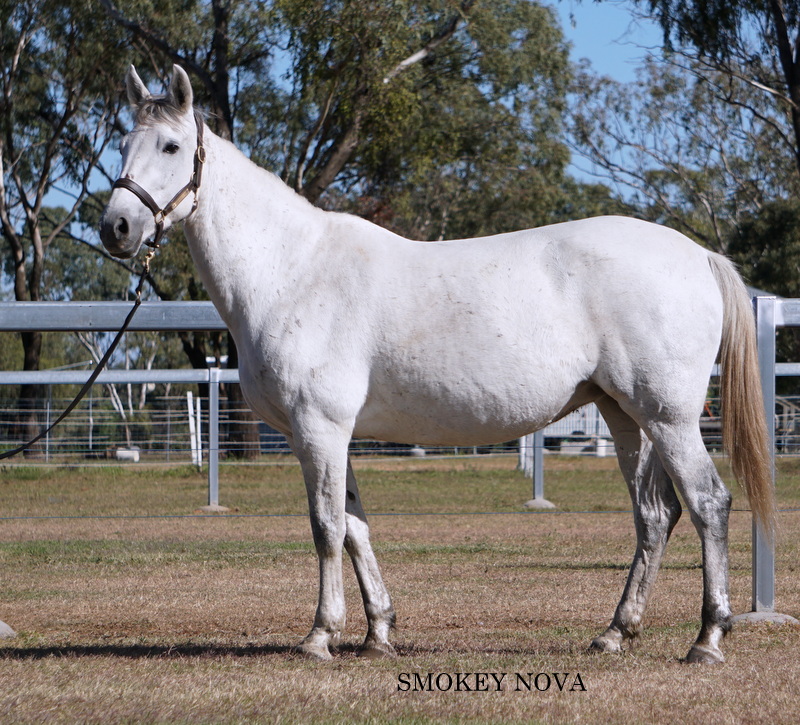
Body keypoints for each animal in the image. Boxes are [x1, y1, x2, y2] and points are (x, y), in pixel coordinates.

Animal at [100, 65, 774, 664]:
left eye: (171, 145)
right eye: (122, 143)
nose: (117, 227)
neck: (291, 269)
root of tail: (696, 254)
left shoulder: (319, 428)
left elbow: (326, 526)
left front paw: (321, 636)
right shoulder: (330, 434)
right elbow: (356, 526)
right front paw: (377, 633)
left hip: (670, 417)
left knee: (709, 503)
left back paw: (708, 639)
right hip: (625, 415)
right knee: (655, 516)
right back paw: (615, 633)